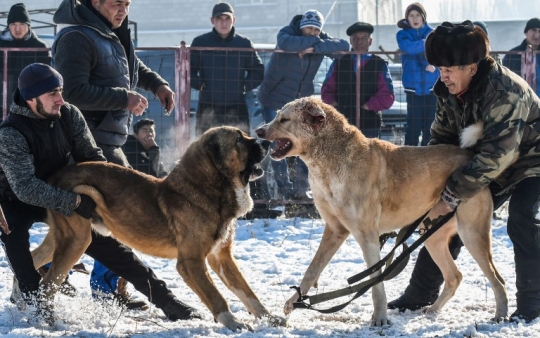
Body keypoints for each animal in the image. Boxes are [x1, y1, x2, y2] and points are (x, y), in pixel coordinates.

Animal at [31, 126, 286, 330]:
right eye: (239, 140)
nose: (267, 142)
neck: (207, 190)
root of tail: (57, 174)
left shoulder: (221, 258)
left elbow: (247, 292)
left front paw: (268, 318)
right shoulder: (191, 262)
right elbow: (216, 297)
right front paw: (233, 323)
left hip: (63, 239)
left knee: (36, 261)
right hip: (77, 240)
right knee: (47, 285)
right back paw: (48, 323)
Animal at [255, 98, 508, 328]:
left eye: (284, 119)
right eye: (277, 116)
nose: (258, 131)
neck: (328, 162)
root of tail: (469, 156)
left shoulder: (367, 236)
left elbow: (375, 282)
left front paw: (379, 318)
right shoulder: (335, 230)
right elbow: (311, 269)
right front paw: (293, 302)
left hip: (472, 234)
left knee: (498, 279)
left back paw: (501, 316)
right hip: (432, 236)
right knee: (454, 276)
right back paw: (433, 310)